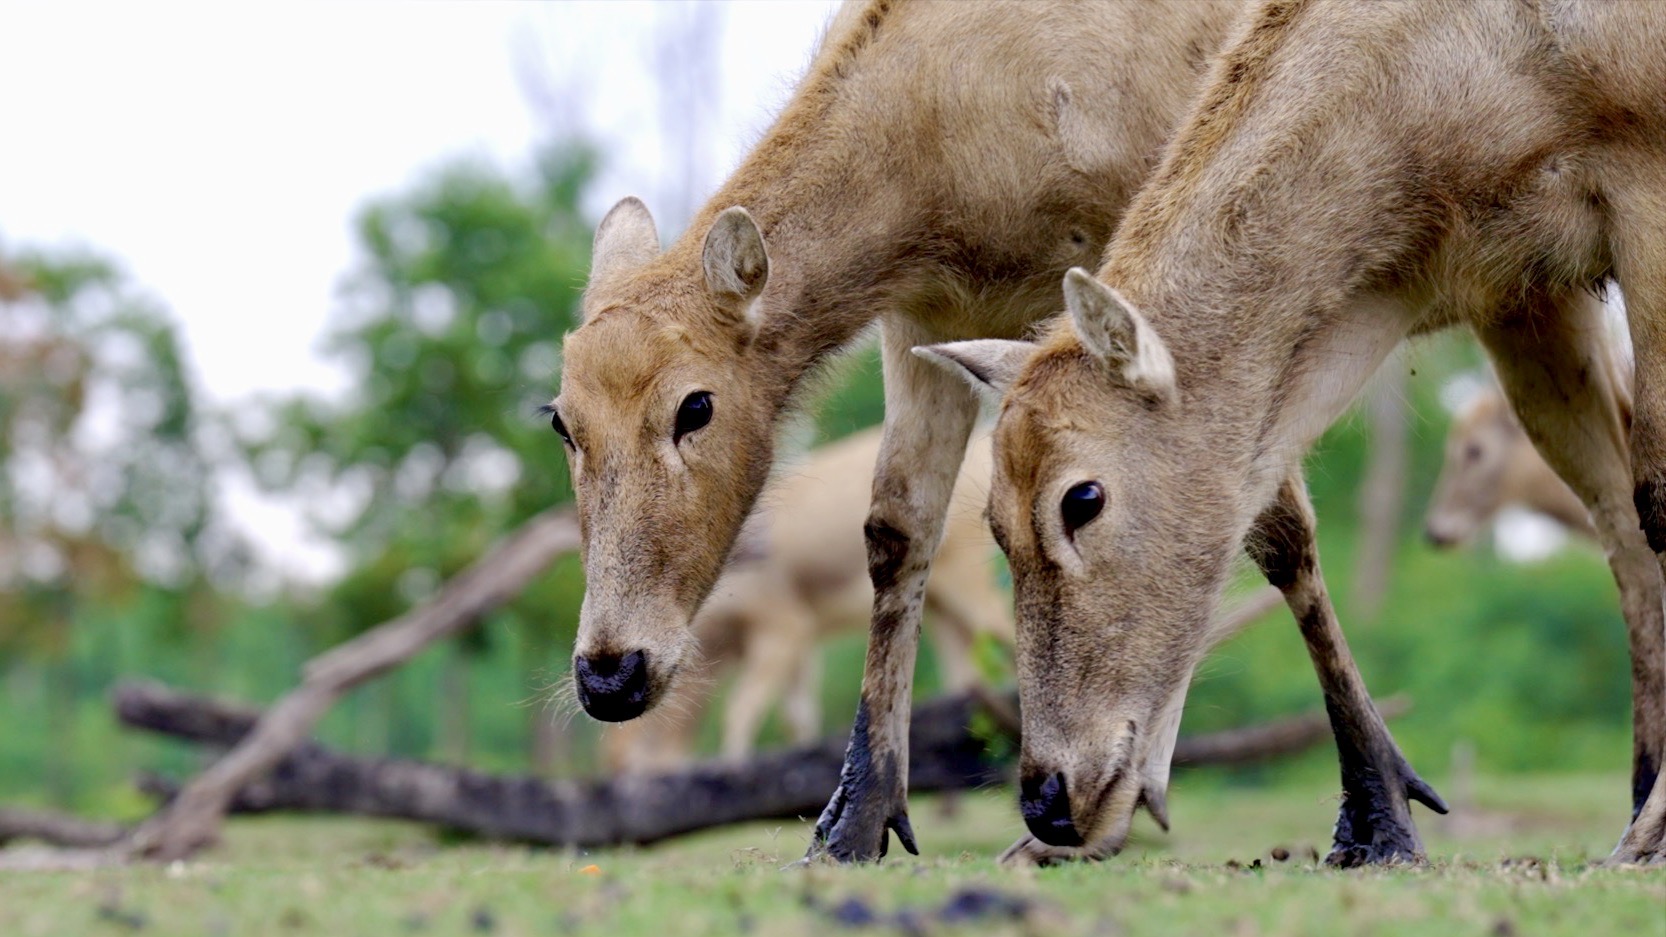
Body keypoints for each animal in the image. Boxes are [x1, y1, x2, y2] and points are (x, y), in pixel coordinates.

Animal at [549, 0, 1328, 862]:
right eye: (560, 420)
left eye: (695, 406)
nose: (609, 673)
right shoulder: (927, 315)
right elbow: (895, 530)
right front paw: (855, 820)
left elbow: (1268, 530)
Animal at [922, 0, 1666, 865]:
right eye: (991, 522)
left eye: (1082, 497)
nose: (1048, 801)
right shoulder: (1496, 283)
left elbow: (1657, 497)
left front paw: (1647, 833)